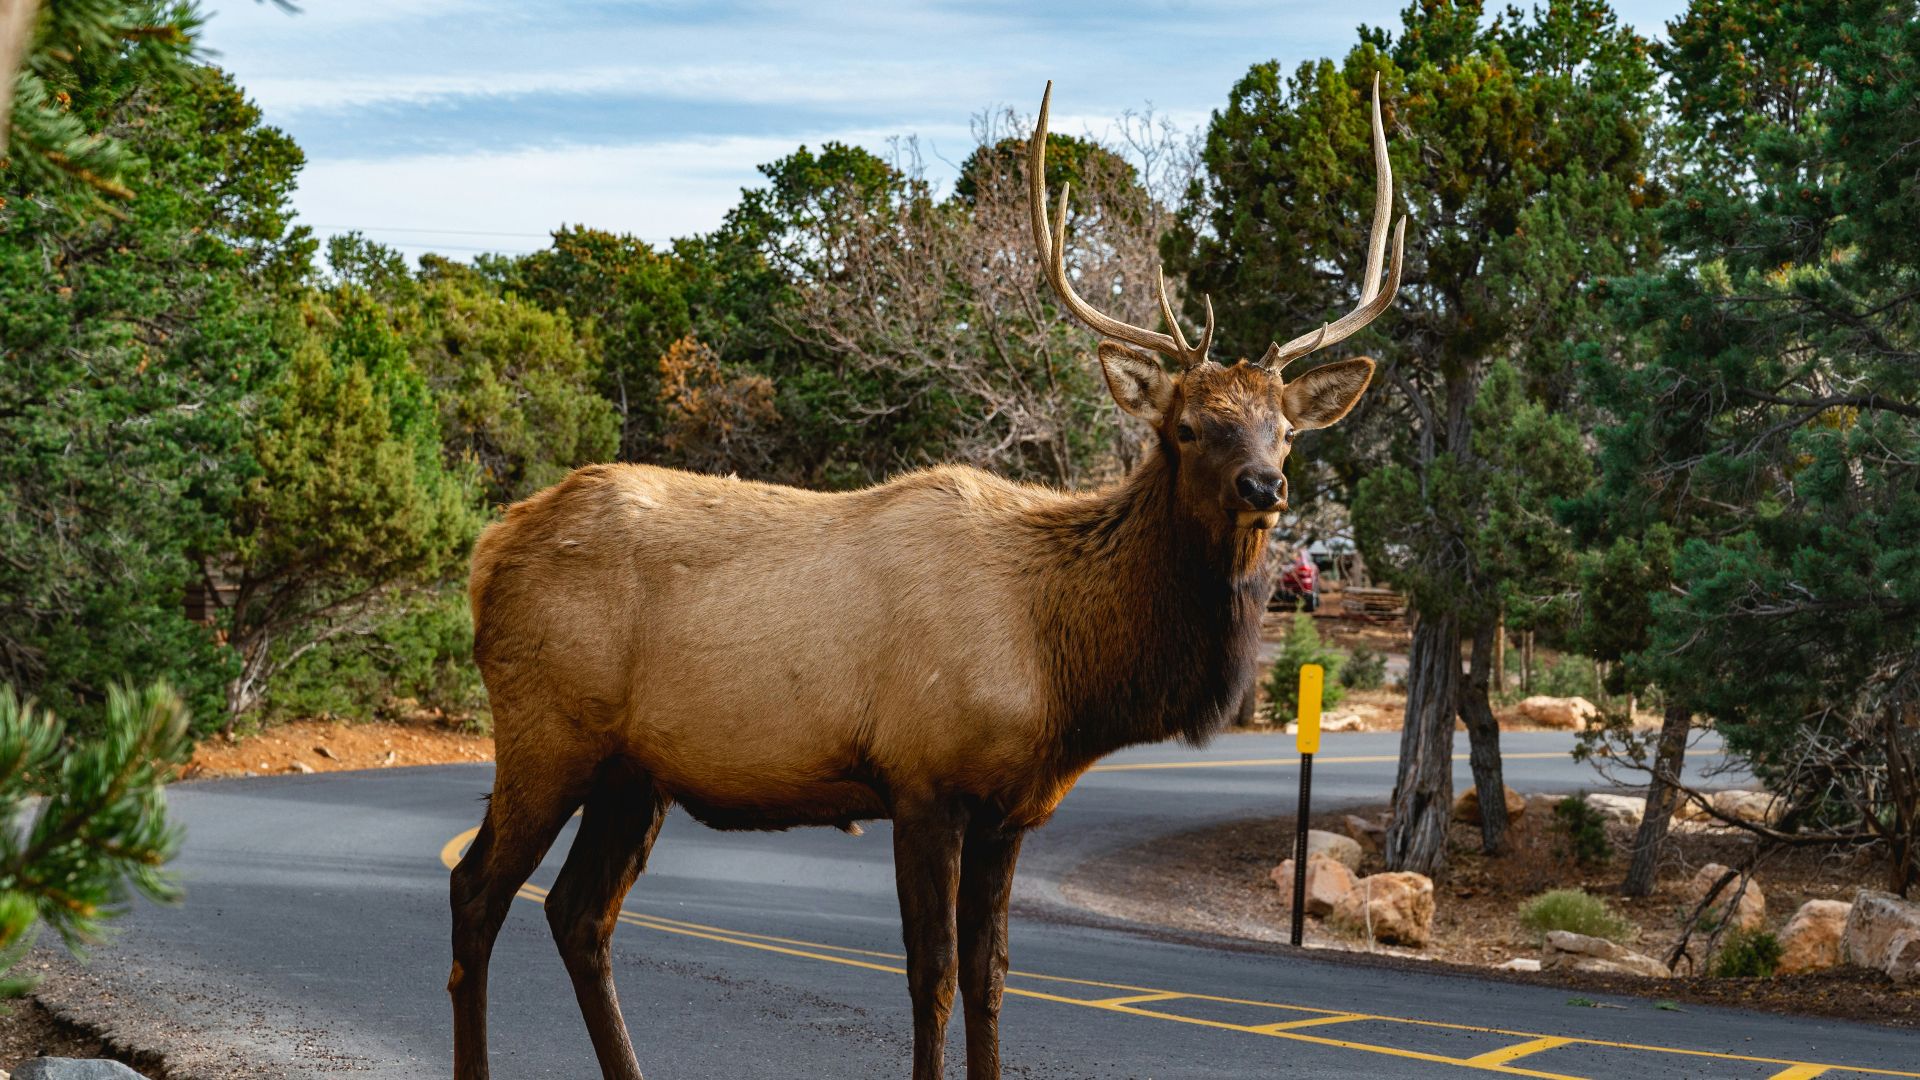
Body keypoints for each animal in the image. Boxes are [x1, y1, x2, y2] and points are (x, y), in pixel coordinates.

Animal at [449, 76, 1404, 1080]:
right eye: (1186, 427)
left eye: (1284, 429)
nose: (1266, 486)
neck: (1063, 670)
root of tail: (489, 550)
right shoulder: (923, 779)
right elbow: (932, 974)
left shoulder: (1010, 809)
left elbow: (991, 976)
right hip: (546, 727)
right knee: (478, 890)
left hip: (633, 771)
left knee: (576, 914)